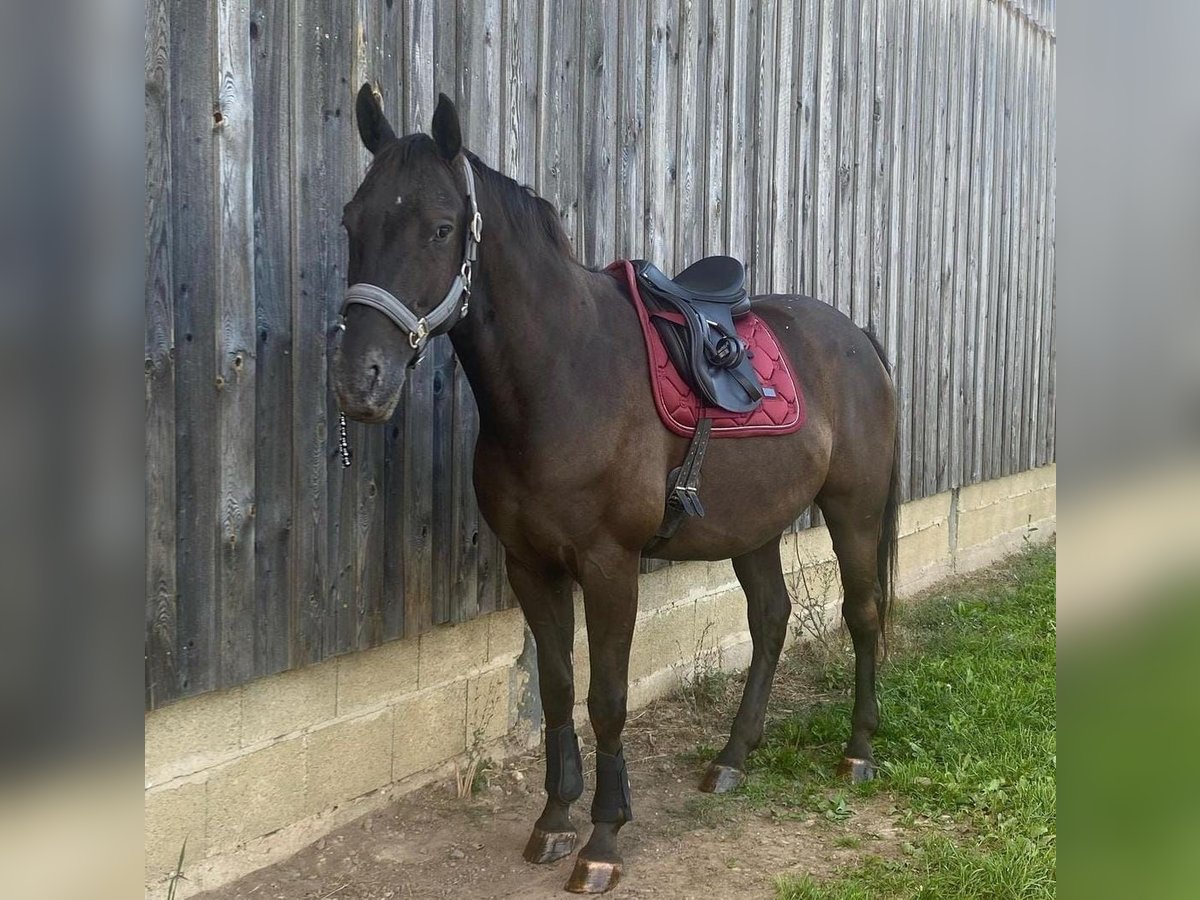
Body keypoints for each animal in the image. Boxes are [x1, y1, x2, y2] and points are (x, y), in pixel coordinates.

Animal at [333, 86, 897, 897]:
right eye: (353, 221)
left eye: (441, 228)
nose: (360, 381)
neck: (563, 376)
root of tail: (856, 336)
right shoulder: (530, 566)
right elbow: (558, 687)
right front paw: (553, 821)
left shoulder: (609, 566)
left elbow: (606, 697)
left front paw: (603, 838)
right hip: (753, 529)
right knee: (770, 620)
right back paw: (732, 759)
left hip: (854, 511)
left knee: (862, 614)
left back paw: (857, 751)